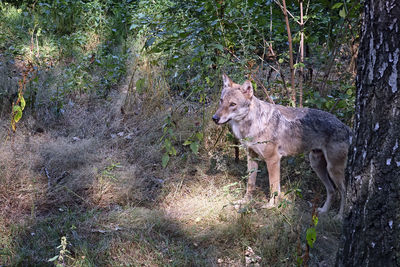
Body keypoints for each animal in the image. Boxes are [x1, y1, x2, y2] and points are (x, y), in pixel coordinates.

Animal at [212, 74, 350, 218]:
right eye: (221, 101)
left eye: (232, 104)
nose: (214, 118)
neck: (252, 124)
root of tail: (345, 127)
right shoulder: (252, 157)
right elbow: (250, 183)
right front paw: (245, 202)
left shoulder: (273, 160)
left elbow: (273, 186)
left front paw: (271, 207)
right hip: (316, 165)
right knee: (332, 190)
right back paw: (323, 211)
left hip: (332, 169)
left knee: (344, 191)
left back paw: (339, 216)